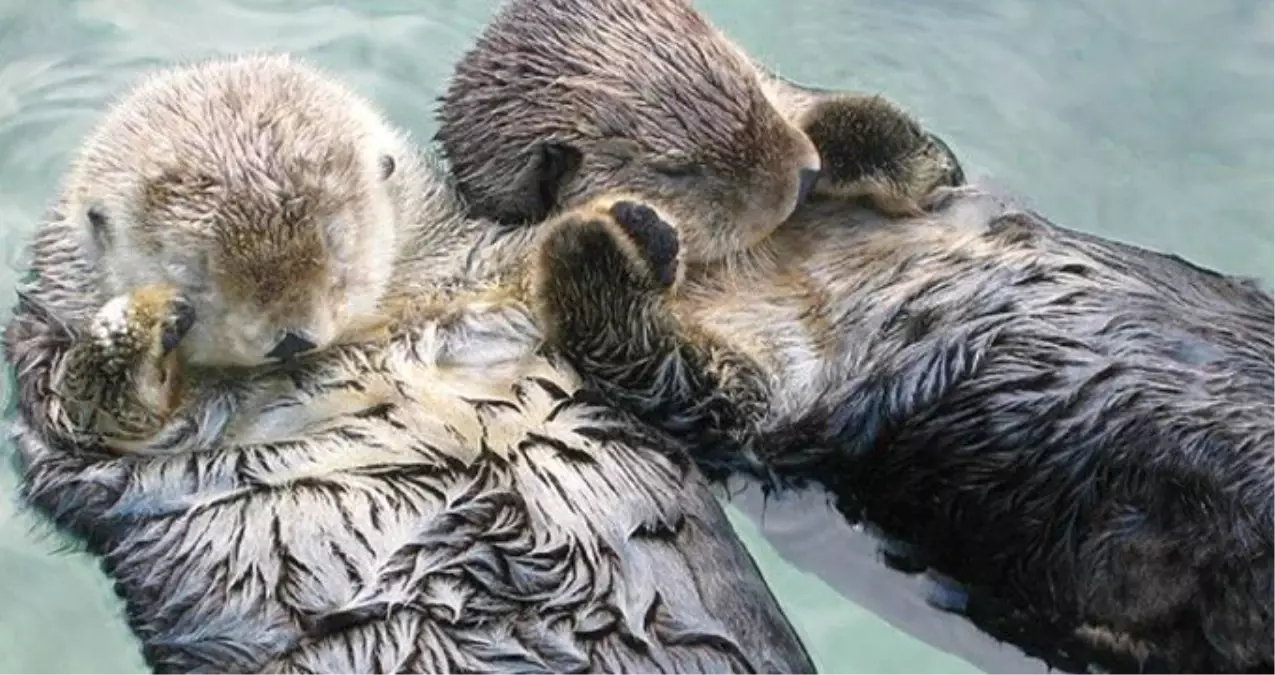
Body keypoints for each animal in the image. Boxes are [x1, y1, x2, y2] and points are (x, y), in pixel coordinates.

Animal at [2, 53, 816, 673]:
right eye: (194, 275)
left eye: (337, 245)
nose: (291, 337)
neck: (366, 345)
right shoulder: (62, 408)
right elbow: (95, 417)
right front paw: (136, 324)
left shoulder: (480, 276)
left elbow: (722, 398)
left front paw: (628, 225)